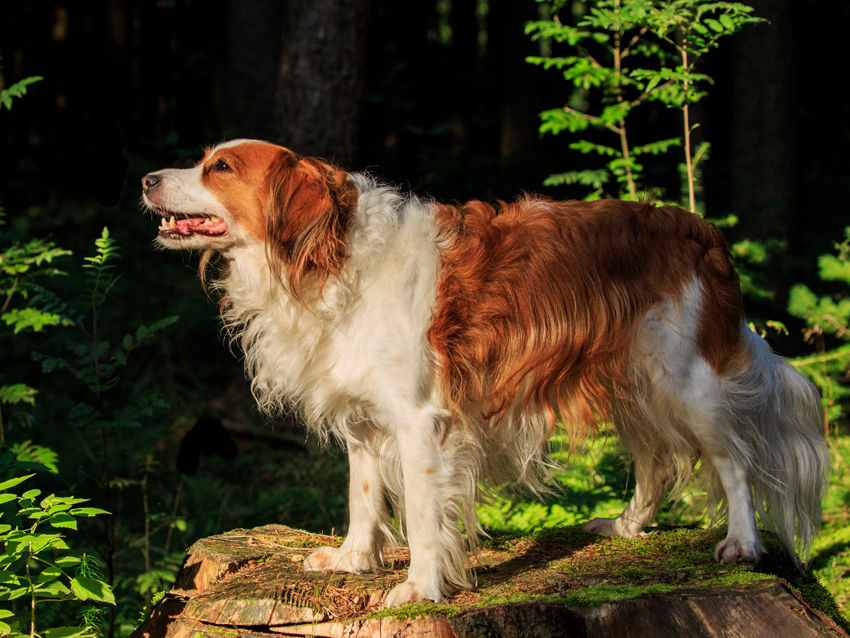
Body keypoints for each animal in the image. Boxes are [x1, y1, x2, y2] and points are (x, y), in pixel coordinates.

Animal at [141, 138, 828, 608]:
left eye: (220, 168)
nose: (146, 177)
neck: (327, 262)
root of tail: (701, 228)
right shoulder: (365, 416)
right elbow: (362, 494)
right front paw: (354, 559)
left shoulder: (421, 421)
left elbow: (422, 515)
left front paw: (419, 588)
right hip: (634, 382)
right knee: (658, 465)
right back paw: (625, 527)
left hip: (683, 380)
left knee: (733, 461)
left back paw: (742, 544)